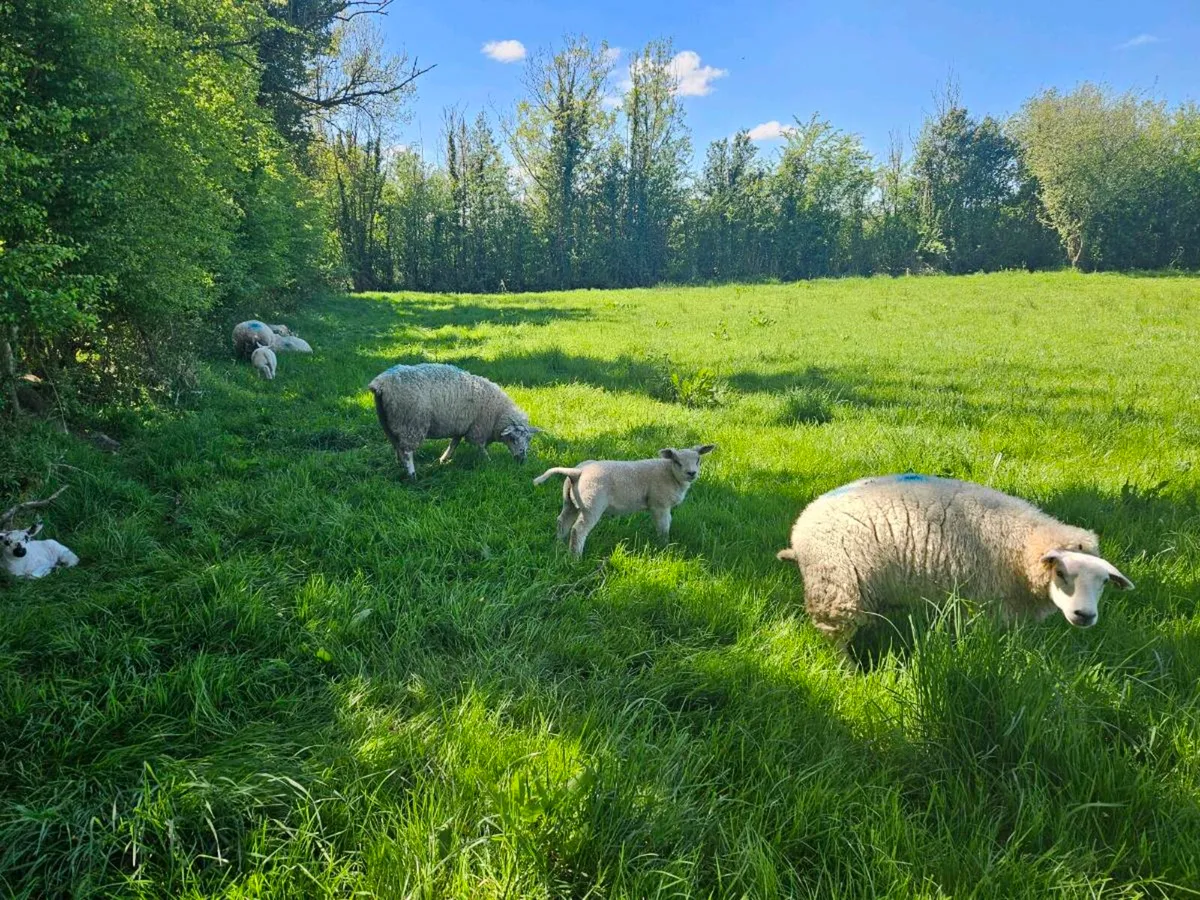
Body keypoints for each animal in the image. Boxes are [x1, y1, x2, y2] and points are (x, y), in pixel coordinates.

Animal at [367, 363, 541, 479]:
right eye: (512, 438)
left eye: (529, 439)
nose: (522, 459)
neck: (497, 414)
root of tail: (380, 384)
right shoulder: (478, 428)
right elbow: (480, 447)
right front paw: (488, 461)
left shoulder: (462, 425)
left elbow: (454, 443)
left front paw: (444, 459)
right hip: (411, 422)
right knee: (407, 451)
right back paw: (412, 474)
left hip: (388, 422)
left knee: (396, 445)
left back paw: (400, 464)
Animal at [533, 445, 715, 557]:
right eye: (677, 462)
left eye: (698, 460)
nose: (692, 473)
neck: (669, 473)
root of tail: (578, 472)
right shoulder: (659, 505)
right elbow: (663, 527)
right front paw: (664, 546)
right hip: (592, 504)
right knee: (578, 530)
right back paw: (575, 558)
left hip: (571, 502)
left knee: (562, 521)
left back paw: (559, 546)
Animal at [776, 473, 1135, 648]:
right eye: (1060, 572)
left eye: (1104, 582)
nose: (1085, 615)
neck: (1021, 545)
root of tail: (802, 524)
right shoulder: (982, 601)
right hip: (836, 590)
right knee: (835, 642)